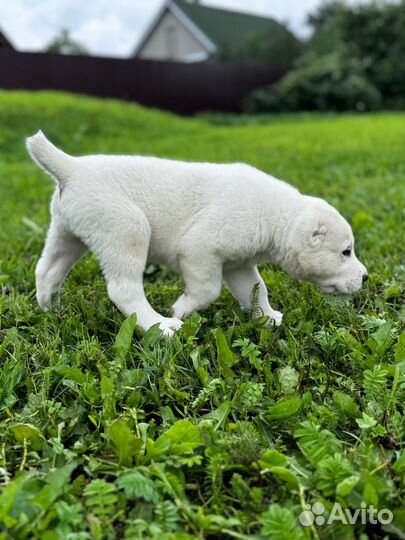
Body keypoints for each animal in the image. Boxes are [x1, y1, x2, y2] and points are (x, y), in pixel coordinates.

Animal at [25, 131, 366, 334]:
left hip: (67, 233)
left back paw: (50, 310)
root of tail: (72, 168)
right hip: (126, 228)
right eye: (345, 251)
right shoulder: (199, 250)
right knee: (124, 290)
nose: (365, 277)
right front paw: (181, 310)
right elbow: (207, 290)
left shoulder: (238, 265)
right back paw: (160, 326)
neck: (279, 215)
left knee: (47, 270)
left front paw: (266, 317)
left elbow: (257, 289)